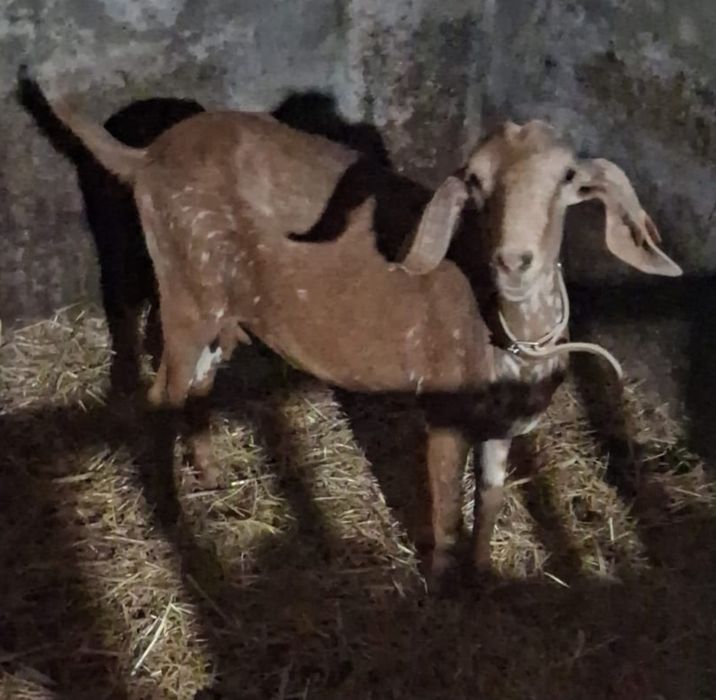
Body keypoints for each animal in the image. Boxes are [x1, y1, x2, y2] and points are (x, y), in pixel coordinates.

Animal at [44, 94, 682, 584]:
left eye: (568, 179)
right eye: (475, 182)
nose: (514, 261)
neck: (502, 327)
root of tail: (146, 156)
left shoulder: (504, 425)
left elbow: (492, 501)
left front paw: (484, 578)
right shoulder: (444, 413)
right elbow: (446, 510)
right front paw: (442, 587)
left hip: (219, 305)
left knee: (196, 385)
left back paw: (211, 475)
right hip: (186, 287)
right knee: (160, 395)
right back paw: (175, 517)